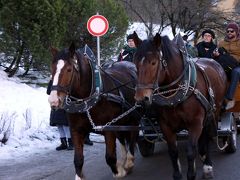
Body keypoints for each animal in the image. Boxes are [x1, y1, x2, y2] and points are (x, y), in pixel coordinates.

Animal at [47, 43, 140, 179]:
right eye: (52, 69)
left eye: (69, 69)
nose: (53, 100)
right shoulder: (76, 130)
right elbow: (78, 160)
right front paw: (79, 176)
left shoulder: (108, 128)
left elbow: (110, 157)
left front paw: (119, 171)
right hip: (120, 122)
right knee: (123, 139)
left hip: (133, 118)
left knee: (133, 137)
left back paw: (128, 161)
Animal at [133, 32, 227, 180]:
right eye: (135, 62)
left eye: (154, 63)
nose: (141, 99)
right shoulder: (165, 126)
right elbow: (173, 152)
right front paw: (177, 175)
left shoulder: (195, 123)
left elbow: (190, 151)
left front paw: (192, 174)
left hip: (213, 112)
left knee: (207, 136)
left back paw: (207, 164)